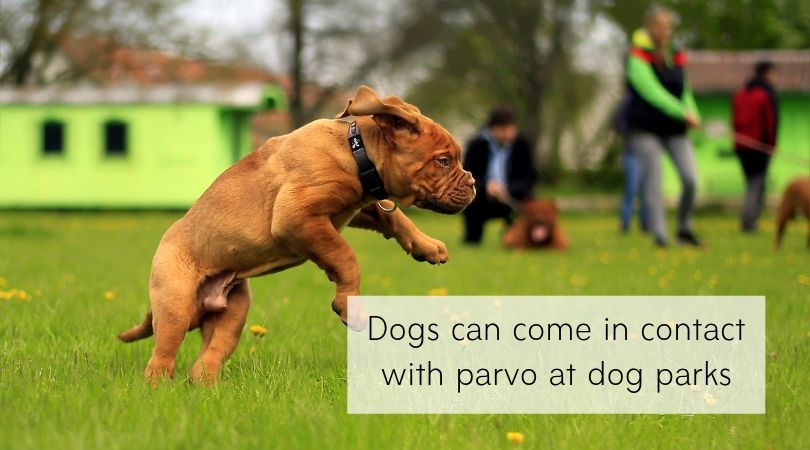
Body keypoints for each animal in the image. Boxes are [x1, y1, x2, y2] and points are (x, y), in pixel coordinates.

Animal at [117, 85, 476, 384]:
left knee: (209, 356)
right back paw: (160, 388)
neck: (357, 152)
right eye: (443, 161)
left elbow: (394, 218)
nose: (473, 183)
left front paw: (426, 246)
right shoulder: (298, 217)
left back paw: (207, 386)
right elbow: (345, 256)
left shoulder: (353, 207)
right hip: (175, 303)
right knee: (162, 356)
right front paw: (350, 306)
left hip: (233, 312)